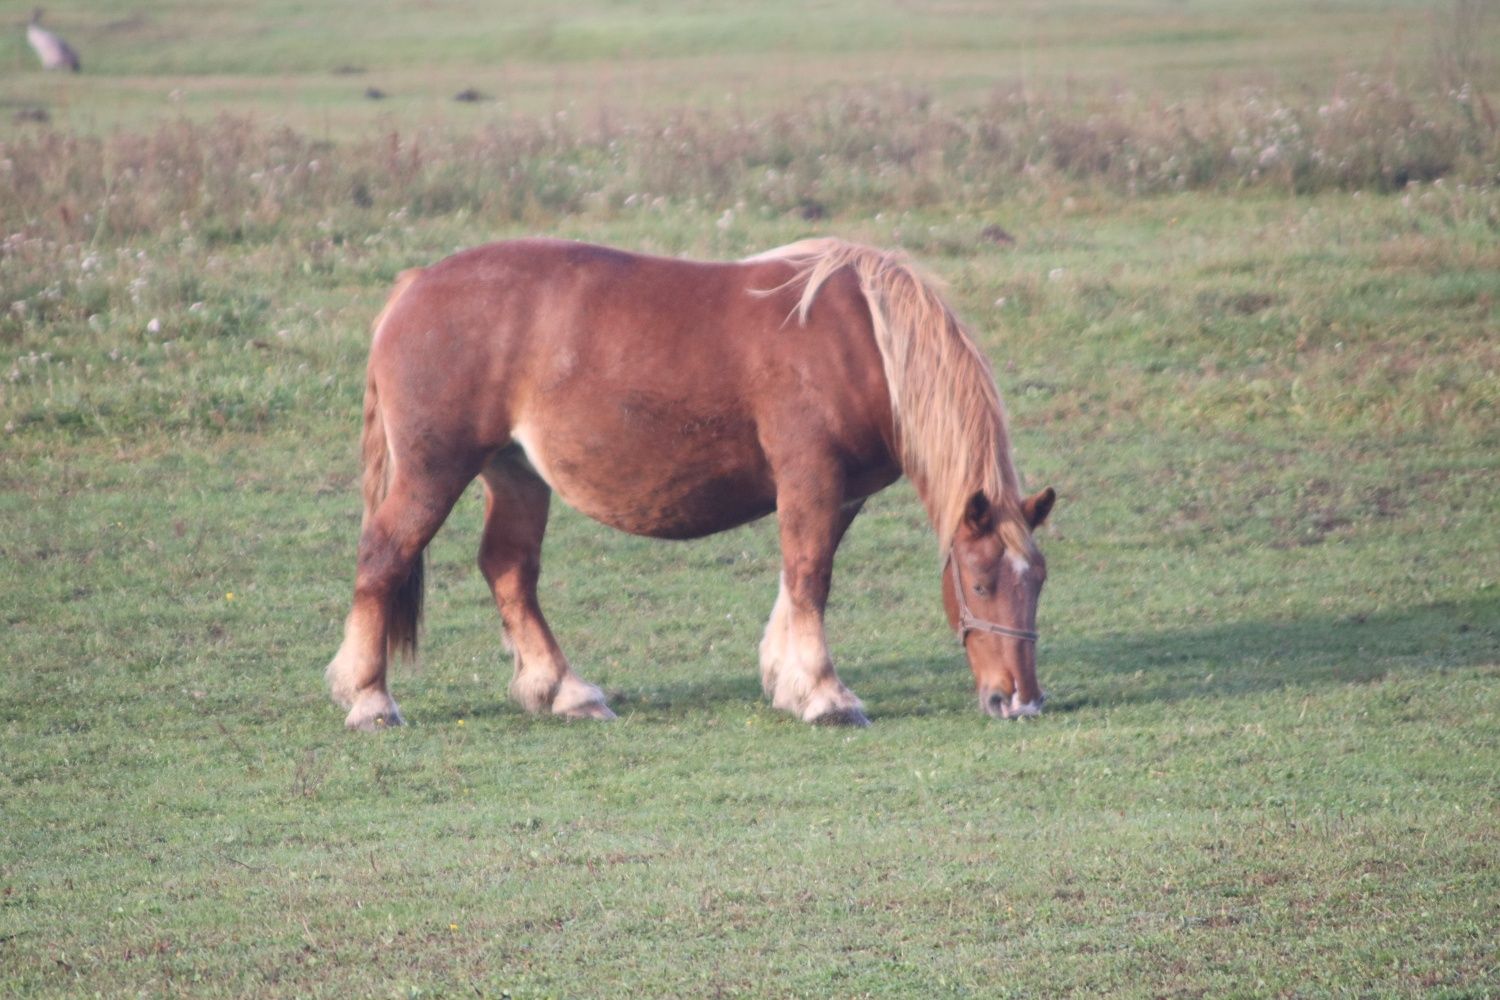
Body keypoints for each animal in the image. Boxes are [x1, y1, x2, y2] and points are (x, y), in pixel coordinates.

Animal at [327, 238, 1056, 731]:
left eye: (1038, 584)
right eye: (981, 584)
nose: (1019, 700)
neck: (862, 340)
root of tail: (415, 285)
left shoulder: (841, 493)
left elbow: (798, 579)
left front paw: (788, 681)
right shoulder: (811, 476)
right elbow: (810, 575)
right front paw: (825, 694)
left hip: (516, 473)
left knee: (508, 568)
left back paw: (563, 690)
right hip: (433, 472)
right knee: (383, 558)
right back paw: (370, 699)